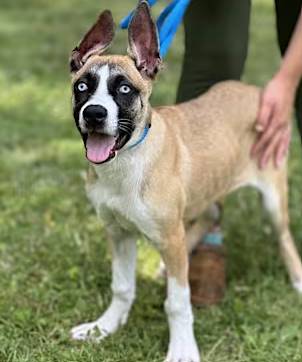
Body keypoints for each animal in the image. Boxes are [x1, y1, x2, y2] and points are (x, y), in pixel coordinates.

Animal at [68, 1, 302, 360]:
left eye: (124, 89)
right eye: (82, 86)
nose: (94, 114)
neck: (126, 163)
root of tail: (254, 90)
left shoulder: (168, 237)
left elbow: (177, 302)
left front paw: (182, 348)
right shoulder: (118, 232)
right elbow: (122, 286)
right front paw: (104, 327)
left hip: (273, 196)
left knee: (285, 238)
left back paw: (298, 280)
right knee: (209, 215)